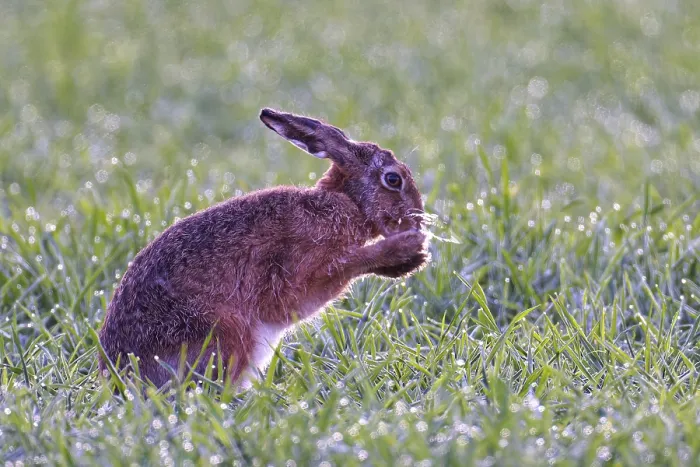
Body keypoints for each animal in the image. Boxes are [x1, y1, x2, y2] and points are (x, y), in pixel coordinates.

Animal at [98, 108, 430, 389]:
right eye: (393, 179)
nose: (417, 217)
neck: (345, 202)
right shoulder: (298, 271)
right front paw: (406, 249)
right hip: (221, 331)